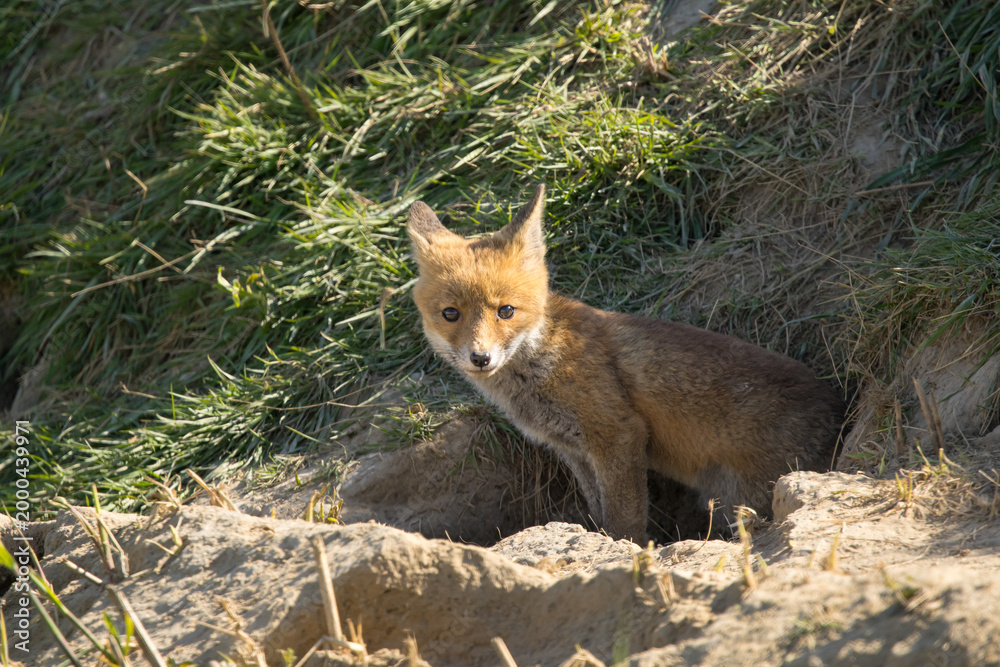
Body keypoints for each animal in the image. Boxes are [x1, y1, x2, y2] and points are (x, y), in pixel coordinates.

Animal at [407, 184, 844, 542]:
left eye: (506, 311)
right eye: (450, 314)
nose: (480, 358)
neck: (545, 363)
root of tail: (840, 408)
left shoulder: (618, 433)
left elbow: (624, 519)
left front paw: (623, 550)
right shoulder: (575, 449)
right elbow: (599, 510)